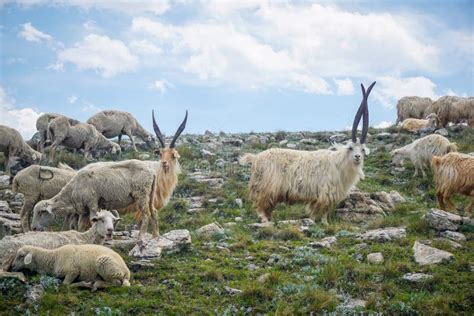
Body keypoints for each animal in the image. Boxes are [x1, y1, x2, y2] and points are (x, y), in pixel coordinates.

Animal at [241, 81, 378, 225]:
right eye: (351, 148)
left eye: (362, 149)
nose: (357, 157)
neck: (338, 163)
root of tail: (255, 158)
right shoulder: (325, 193)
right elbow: (323, 210)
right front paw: (324, 223)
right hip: (267, 187)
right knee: (261, 204)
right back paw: (264, 220)